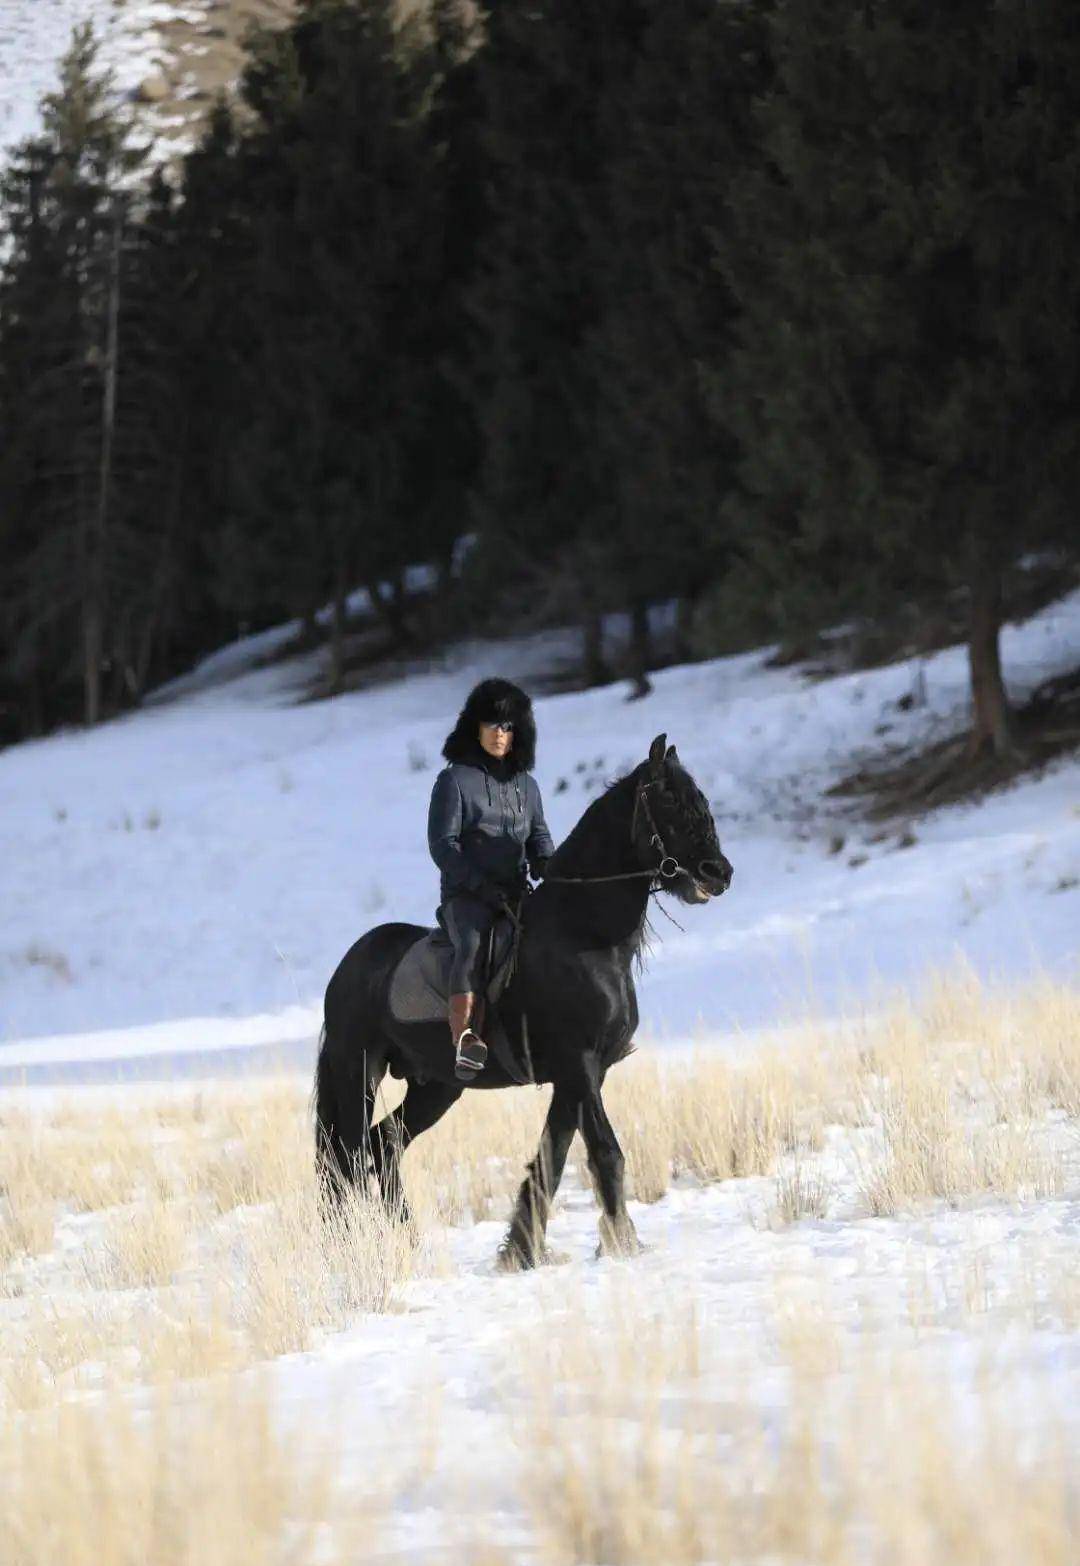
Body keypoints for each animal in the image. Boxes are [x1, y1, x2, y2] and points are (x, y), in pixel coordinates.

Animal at [311, 726, 732, 1265]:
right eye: (669, 801)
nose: (718, 873)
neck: (581, 934)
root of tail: (348, 967)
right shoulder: (579, 1063)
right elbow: (605, 1152)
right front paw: (622, 1243)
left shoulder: (582, 1073)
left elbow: (553, 1156)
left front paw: (522, 1250)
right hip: (357, 1071)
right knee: (348, 1158)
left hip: (436, 1086)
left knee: (383, 1146)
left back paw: (409, 1244)